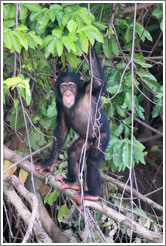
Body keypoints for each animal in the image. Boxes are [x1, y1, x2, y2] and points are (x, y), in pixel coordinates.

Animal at [35, 47, 109, 204]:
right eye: (63, 86)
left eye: (71, 86)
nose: (68, 93)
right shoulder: (58, 103)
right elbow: (62, 128)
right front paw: (49, 163)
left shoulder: (89, 88)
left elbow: (98, 81)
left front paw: (89, 45)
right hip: (85, 141)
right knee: (73, 153)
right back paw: (74, 183)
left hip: (102, 137)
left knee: (92, 162)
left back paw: (92, 194)